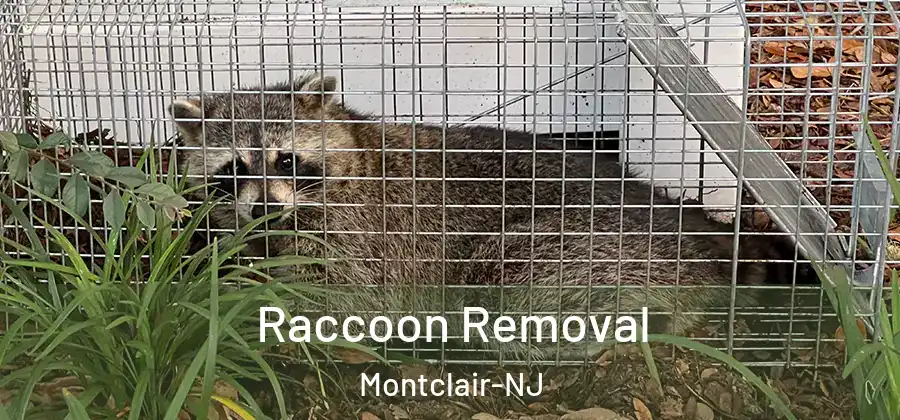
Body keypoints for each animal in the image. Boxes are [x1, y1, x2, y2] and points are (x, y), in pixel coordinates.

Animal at [167, 73, 814, 359]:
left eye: (286, 159)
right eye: (234, 168)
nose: (265, 207)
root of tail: (693, 237)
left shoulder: (367, 233)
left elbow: (345, 296)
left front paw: (251, 306)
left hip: (583, 246)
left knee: (511, 279)